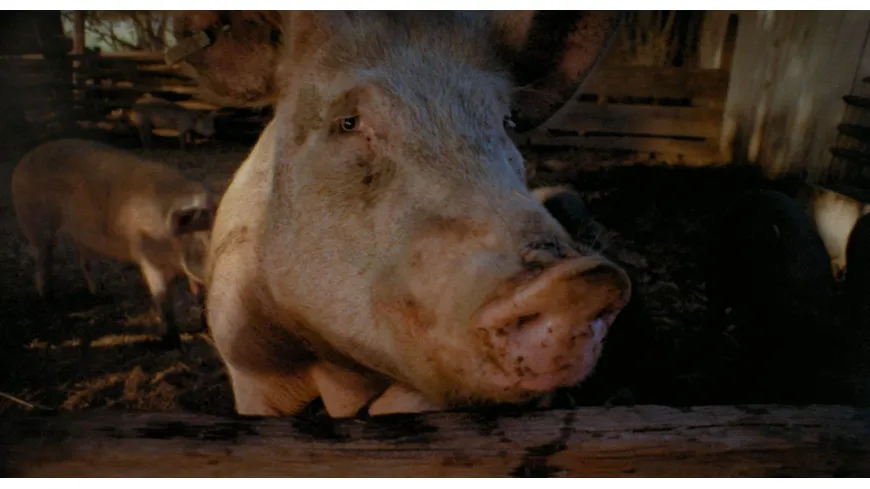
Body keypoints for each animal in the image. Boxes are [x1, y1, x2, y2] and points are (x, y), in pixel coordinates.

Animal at [11, 138, 216, 347]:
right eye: (205, 241)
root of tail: (25, 159)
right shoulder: (148, 258)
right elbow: (162, 297)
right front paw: (171, 341)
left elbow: (202, 296)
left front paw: (207, 328)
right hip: (34, 222)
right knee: (43, 259)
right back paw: (49, 299)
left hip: (82, 233)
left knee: (83, 260)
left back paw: (99, 293)